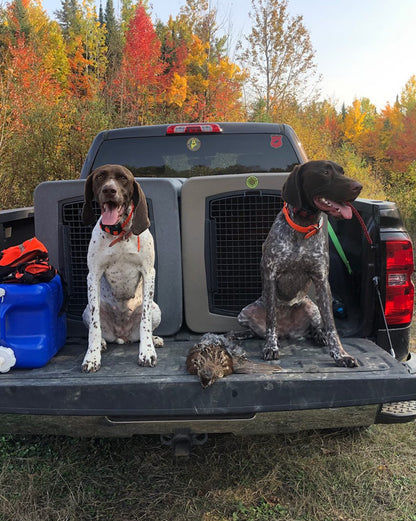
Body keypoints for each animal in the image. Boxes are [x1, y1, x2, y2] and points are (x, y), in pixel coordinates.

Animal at [79, 165, 162, 372]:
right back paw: (101, 343)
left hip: (157, 310)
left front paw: (147, 352)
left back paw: (154, 339)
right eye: (100, 177)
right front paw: (92, 357)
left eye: (123, 178)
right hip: (86, 311)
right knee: (98, 329)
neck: (119, 234)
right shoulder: (93, 276)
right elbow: (94, 326)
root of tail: (122, 335)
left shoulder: (148, 272)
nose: (109, 190)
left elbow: (145, 321)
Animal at [239, 158, 362, 366]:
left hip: (311, 308)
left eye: (342, 172)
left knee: (316, 328)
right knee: (256, 330)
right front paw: (270, 347)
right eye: (325, 172)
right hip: (246, 311)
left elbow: (331, 326)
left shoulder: (321, 280)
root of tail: (286, 331)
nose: (358, 186)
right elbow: (271, 321)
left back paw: (319, 336)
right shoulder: (271, 276)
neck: (304, 227)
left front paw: (340, 354)